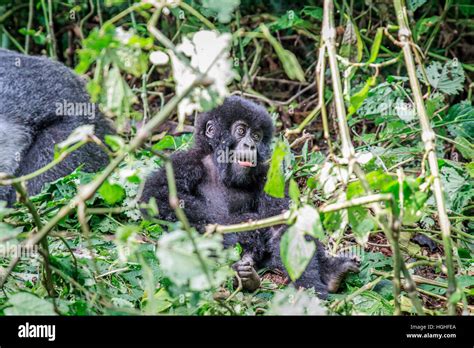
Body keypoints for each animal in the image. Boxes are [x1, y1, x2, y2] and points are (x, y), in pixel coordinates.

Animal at [142, 96, 360, 298]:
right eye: (241, 131)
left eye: (256, 136)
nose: (250, 145)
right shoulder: (184, 162)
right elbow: (158, 197)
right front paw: (243, 229)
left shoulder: (267, 174)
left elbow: (282, 221)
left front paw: (309, 285)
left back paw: (331, 273)